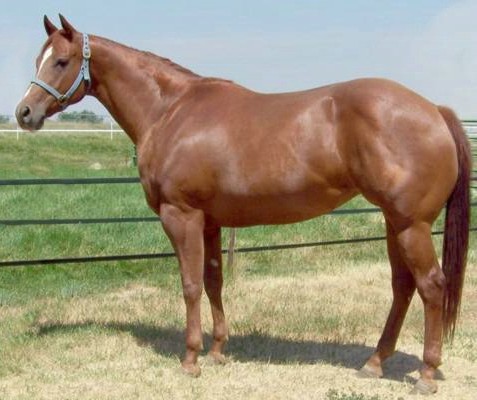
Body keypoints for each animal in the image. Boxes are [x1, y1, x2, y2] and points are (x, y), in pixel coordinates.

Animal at [15, 15, 471, 394]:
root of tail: (434, 110)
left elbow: (190, 284)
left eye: (61, 61)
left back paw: (426, 374)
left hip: (411, 225)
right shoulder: (210, 221)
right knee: (402, 287)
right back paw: (374, 363)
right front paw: (218, 350)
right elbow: (214, 280)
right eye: (40, 58)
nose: (24, 113)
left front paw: (191, 359)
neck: (170, 111)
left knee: (431, 286)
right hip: (395, 222)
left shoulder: (180, 216)